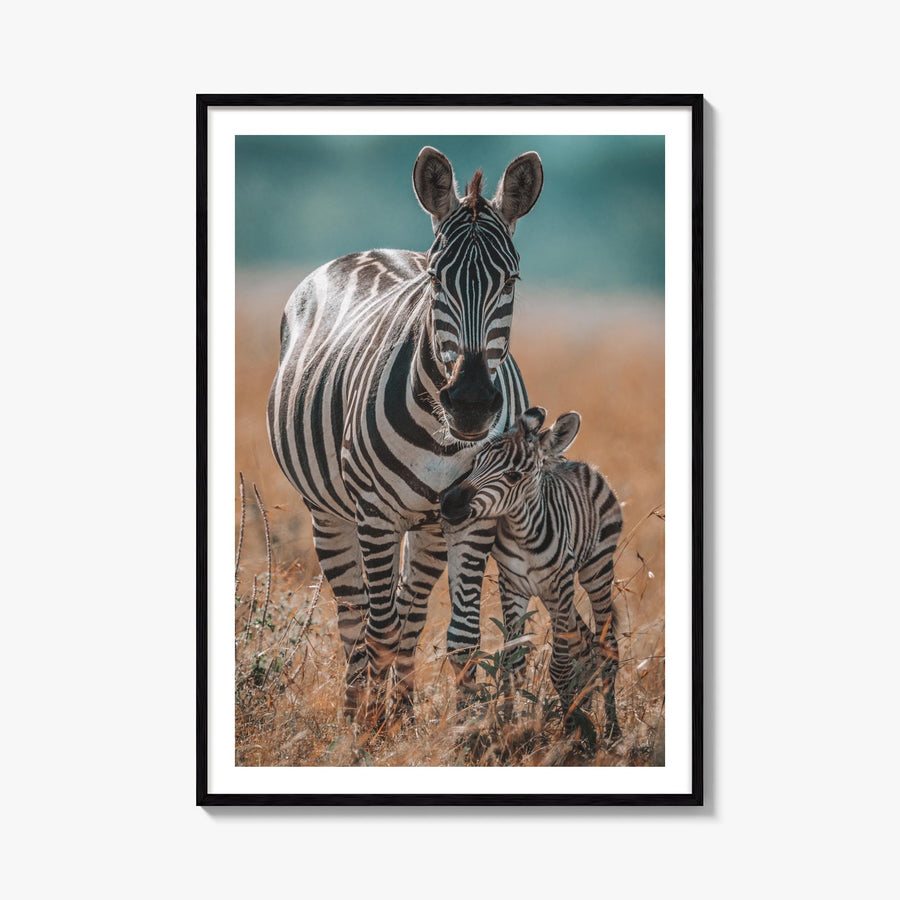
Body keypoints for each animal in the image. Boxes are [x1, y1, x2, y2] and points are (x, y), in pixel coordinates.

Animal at [267, 146, 544, 716]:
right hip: (330, 513)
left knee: (410, 611)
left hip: (430, 525)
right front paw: (374, 727)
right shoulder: (374, 513)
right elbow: (378, 630)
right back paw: (358, 711)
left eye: (510, 282)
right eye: (437, 280)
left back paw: (403, 708)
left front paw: (467, 727)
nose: (472, 403)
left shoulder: (475, 515)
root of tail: (373, 250)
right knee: (357, 617)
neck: (444, 438)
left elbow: (461, 638)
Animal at [440, 406, 623, 738]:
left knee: (606, 647)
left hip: (596, 570)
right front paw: (510, 726)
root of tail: (580, 463)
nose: (448, 503)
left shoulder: (561, 584)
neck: (523, 532)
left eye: (513, 476)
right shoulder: (511, 586)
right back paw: (586, 708)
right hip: (553, 592)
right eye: (475, 462)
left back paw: (612, 731)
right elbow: (512, 664)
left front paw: (569, 733)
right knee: (586, 642)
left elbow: (560, 667)